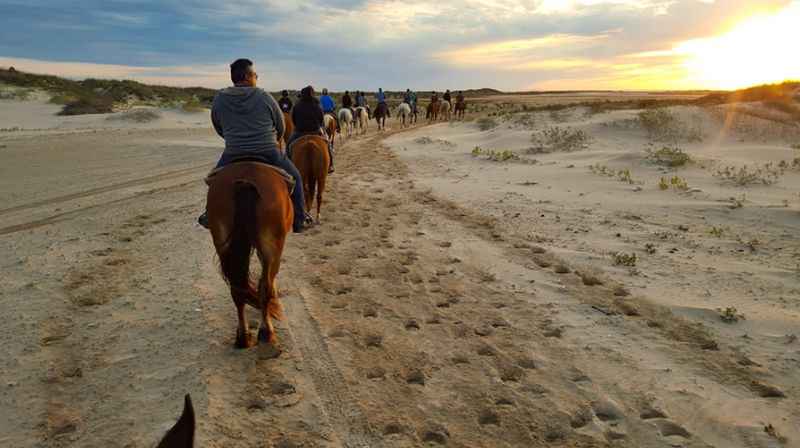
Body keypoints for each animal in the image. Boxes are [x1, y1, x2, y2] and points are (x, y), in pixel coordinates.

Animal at [208, 163, 292, 348]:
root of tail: (244, 182)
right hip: (272, 246)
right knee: (265, 286)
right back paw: (267, 332)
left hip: (223, 241)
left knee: (237, 290)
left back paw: (243, 337)